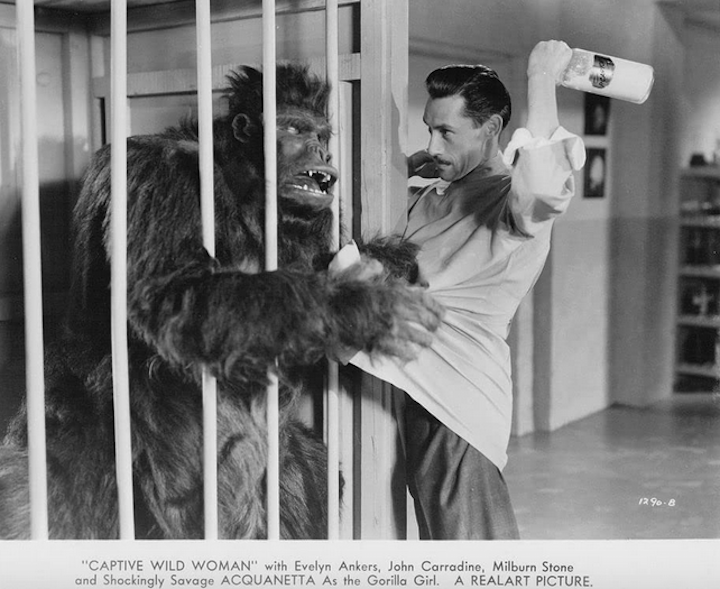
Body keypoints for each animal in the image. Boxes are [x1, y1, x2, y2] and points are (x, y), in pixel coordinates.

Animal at [0, 63, 442, 539]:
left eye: (322, 135)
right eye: (293, 129)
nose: (321, 154)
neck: (240, 187)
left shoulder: (316, 223)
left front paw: (385, 268)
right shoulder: (159, 173)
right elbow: (175, 294)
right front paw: (361, 302)